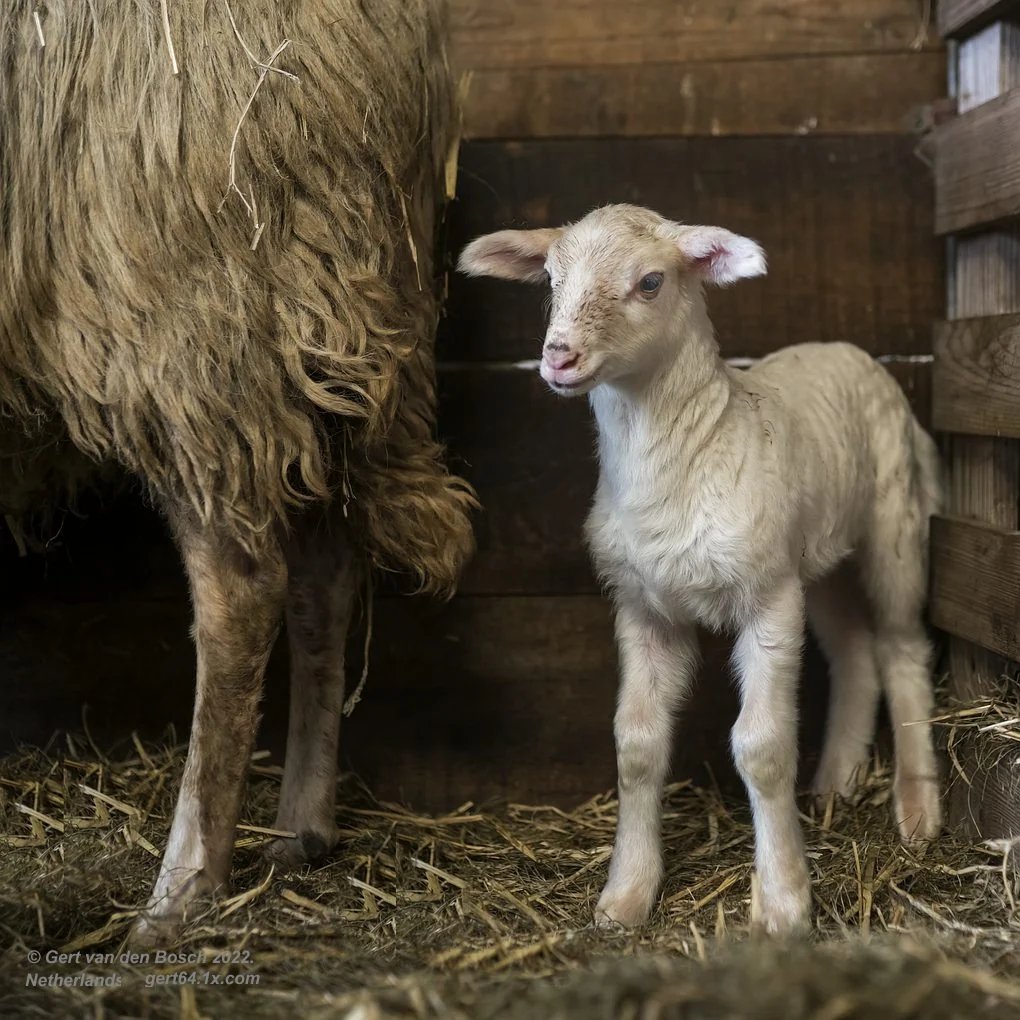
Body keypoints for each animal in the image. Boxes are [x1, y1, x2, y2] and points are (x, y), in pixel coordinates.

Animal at [1, 0, 474, 943]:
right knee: (325, 574)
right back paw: (300, 831)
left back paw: (180, 892)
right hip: (311, 337)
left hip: (198, 326)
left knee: (240, 591)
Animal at [458, 203, 942, 934]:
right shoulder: (642, 606)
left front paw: (783, 901)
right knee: (856, 652)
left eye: (651, 282)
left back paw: (917, 812)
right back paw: (836, 781)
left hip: (894, 517)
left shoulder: (769, 595)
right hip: (818, 553)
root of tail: (843, 347)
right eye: (551, 278)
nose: (559, 356)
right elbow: (636, 745)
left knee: (902, 647)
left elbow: (762, 747)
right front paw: (626, 895)